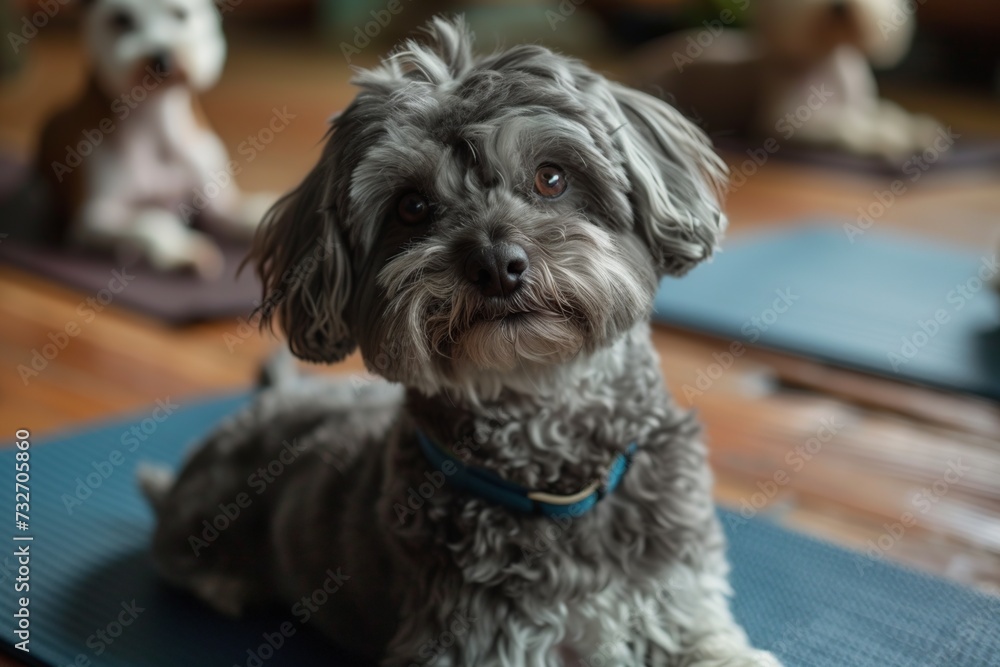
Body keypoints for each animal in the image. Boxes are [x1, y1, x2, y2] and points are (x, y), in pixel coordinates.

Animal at [38, 0, 274, 276]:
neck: (155, 119)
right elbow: (152, 220)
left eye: (181, 14)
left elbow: (242, 213)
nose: (163, 58)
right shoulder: (92, 217)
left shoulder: (218, 204)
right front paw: (182, 249)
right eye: (122, 19)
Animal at [141, 15, 780, 667]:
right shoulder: (474, 643)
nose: (497, 264)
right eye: (411, 206)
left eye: (551, 177)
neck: (550, 477)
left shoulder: (681, 608)